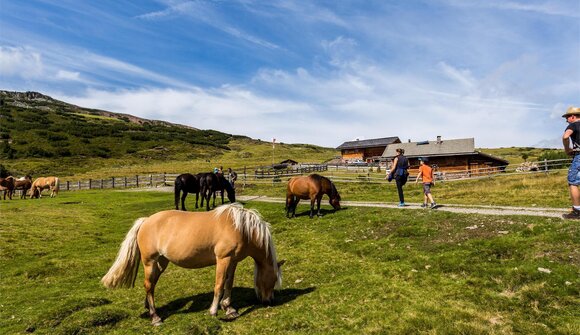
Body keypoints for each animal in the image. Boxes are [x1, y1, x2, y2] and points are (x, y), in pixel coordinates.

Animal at [100, 203, 286, 326]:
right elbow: (219, 285)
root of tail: (145, 221)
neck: (241, 228)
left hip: (161, 262)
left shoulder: (233, 261)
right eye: (273, 280)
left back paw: (149, 307)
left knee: (151, 284)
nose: (269, 301)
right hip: (149, 261)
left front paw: (229, 308)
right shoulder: (223, 259)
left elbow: (228, 284)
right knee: (148, 285)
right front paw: (214, 311)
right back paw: (155, 317)